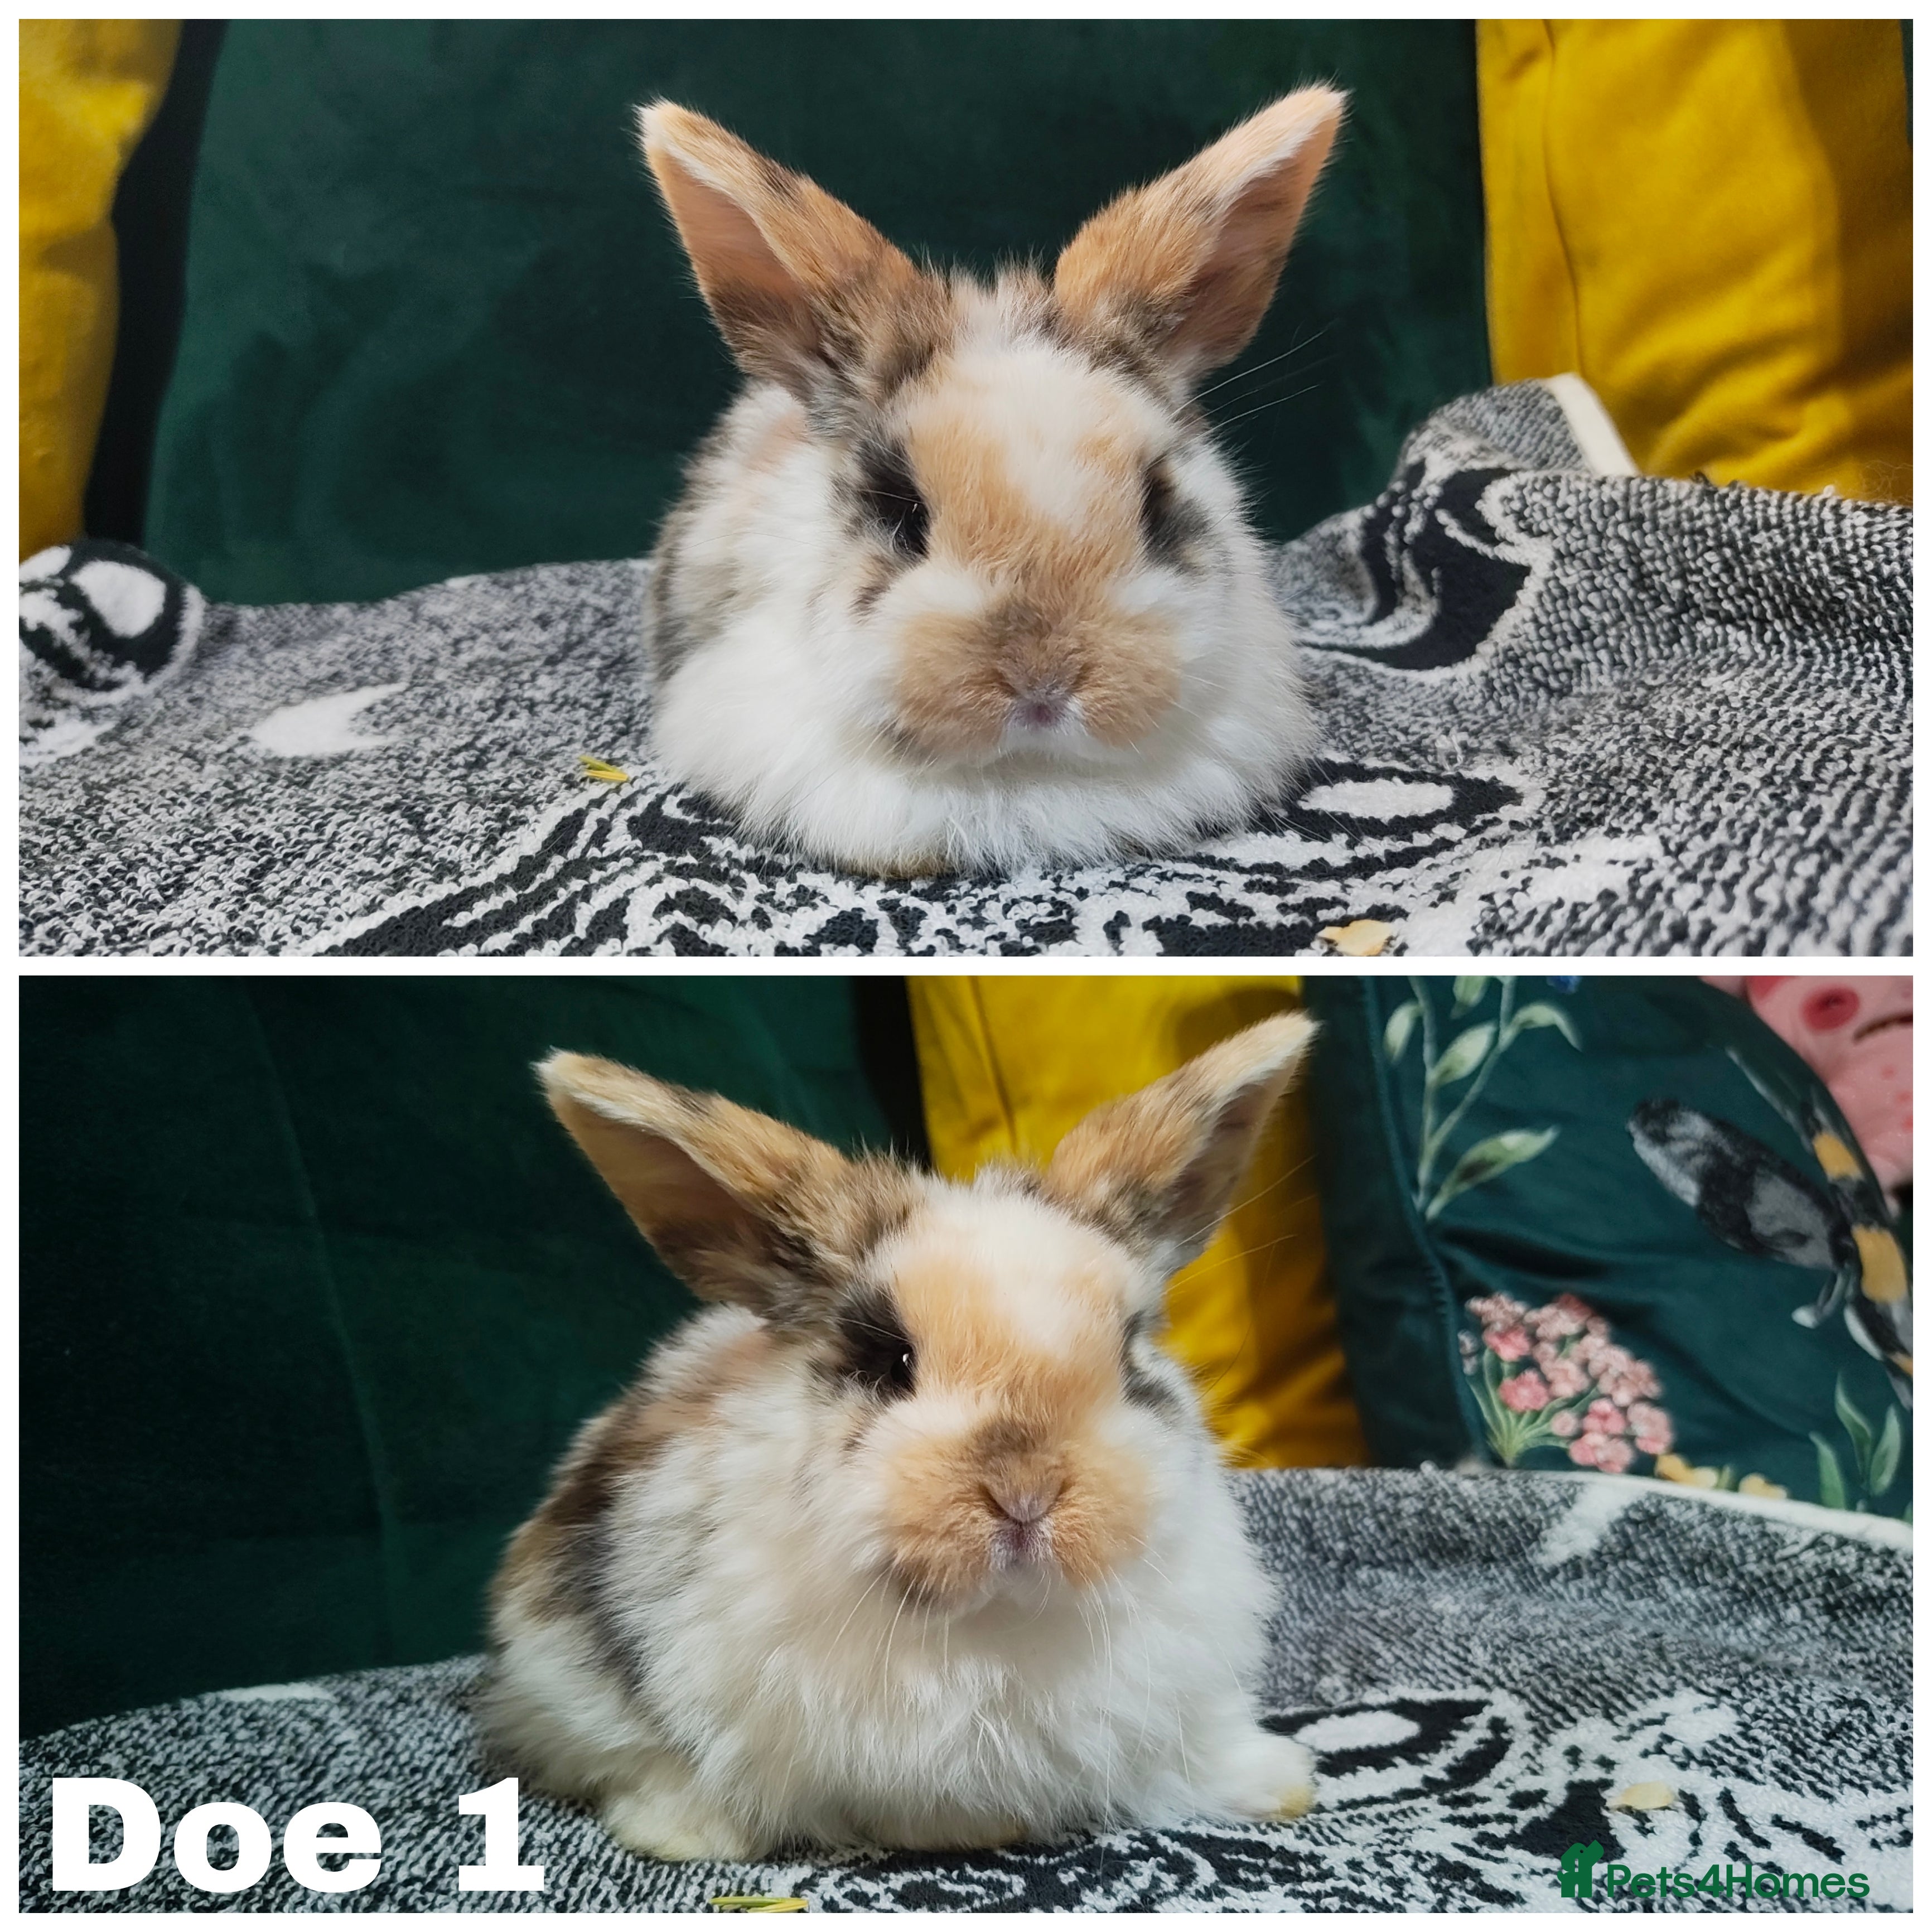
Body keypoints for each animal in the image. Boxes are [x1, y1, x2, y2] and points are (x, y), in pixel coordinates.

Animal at [479, 1013, 1321, 1860]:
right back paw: (684, 1833)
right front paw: (983, 1825)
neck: (996, 1623)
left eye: (1127, 1353)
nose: (1025, 1492)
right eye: (892, 1362)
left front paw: (1282, 1782)